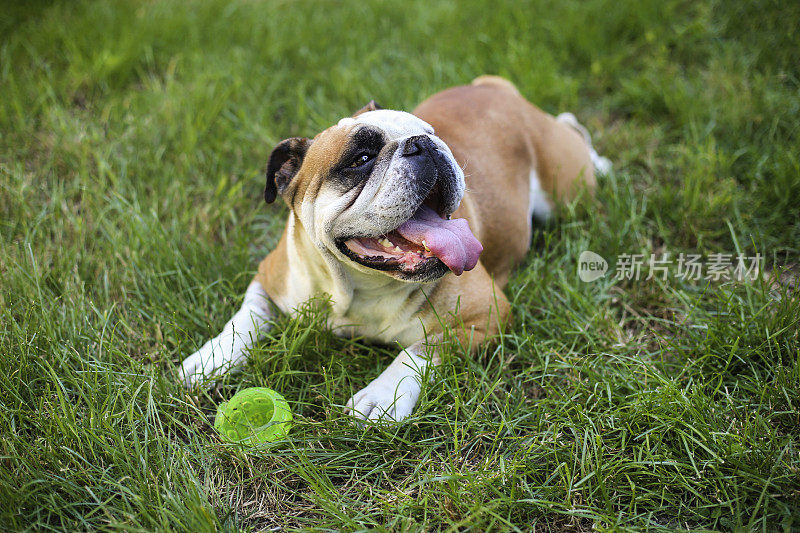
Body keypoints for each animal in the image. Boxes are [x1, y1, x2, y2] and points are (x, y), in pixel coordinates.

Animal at [181, 76, 608, 420]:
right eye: (361, 158)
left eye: (432, 132)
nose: (425, 143)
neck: (359, 288)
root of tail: (493, 86)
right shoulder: (270, 275)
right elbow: (248, 315)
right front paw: (211, 358)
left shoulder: (485, 316)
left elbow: (421, 349)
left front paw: (382, 396)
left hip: (569, 190)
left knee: (575, 135)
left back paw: (602, 162)